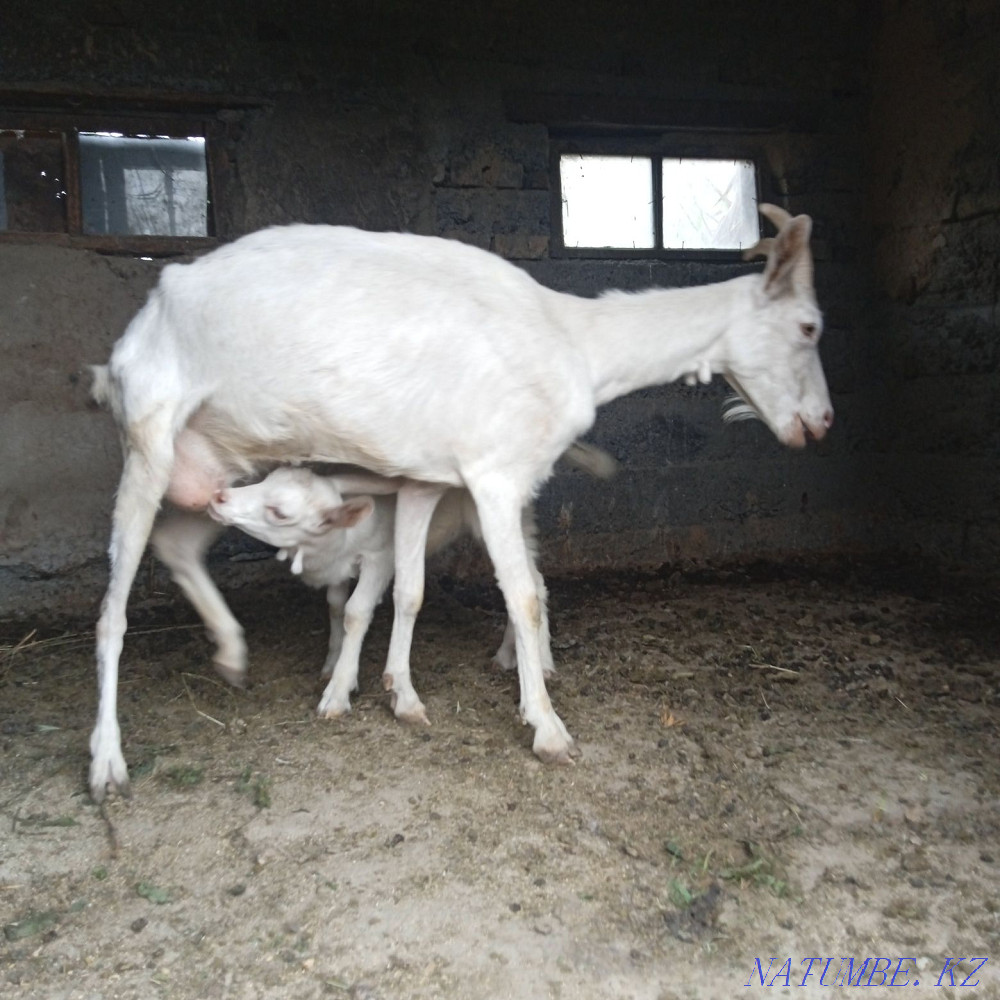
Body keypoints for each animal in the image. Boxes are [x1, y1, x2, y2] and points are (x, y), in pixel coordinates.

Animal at [89, 203, 831, 800]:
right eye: (809, 328)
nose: (822, 423)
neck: (575, 341)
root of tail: (137, 330)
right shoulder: (495, 475)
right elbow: (523, 596)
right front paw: (547, 728)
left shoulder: (427, 478)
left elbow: (411, 589)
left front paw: (400, 695)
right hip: (149, 438)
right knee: (112, 611)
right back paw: (106, 762)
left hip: (215, 462)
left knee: (179, 541)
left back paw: (232, 654)